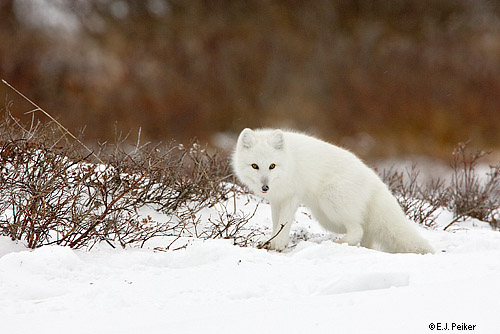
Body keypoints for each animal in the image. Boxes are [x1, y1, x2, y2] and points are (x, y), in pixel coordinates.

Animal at [233, 129, 434, 254]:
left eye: (272, 166)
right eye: (255, 166)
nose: (265, 187)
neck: (289, 163)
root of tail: (375, 180)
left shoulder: (292, 196)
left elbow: (285, 222)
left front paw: (278, 243)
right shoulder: (277, 200)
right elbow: (277, 223)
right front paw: (272, 241)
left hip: (330, 204)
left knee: (358, 229)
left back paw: (340, 243)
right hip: (327, 218)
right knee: (366, 230)